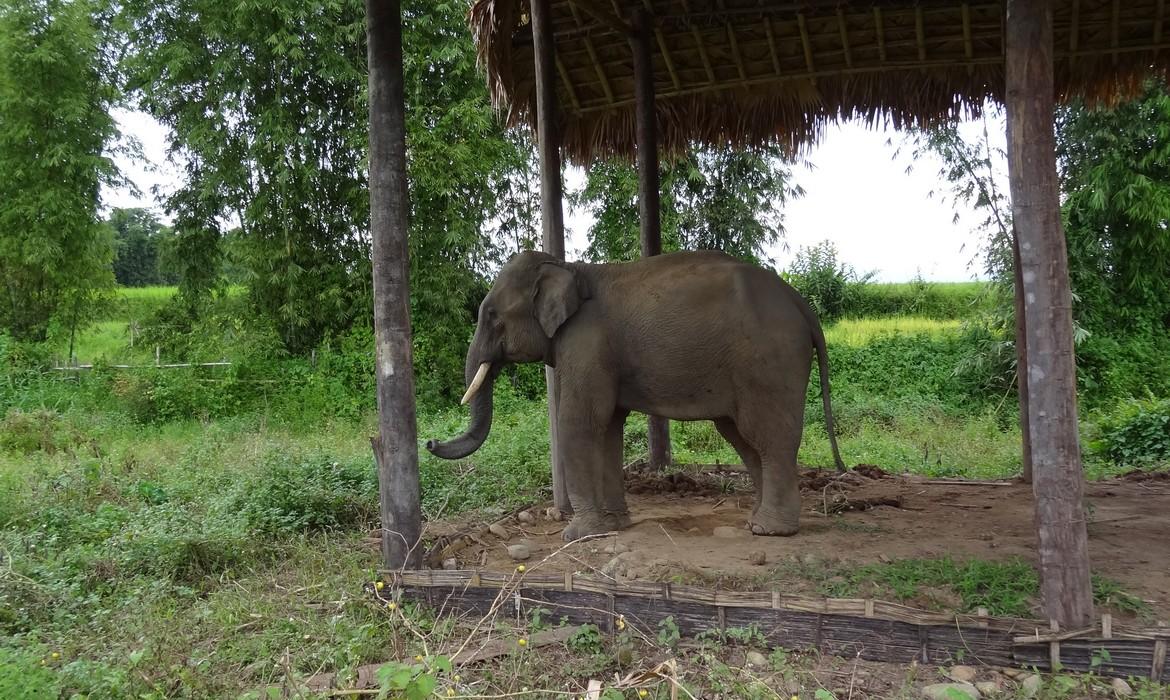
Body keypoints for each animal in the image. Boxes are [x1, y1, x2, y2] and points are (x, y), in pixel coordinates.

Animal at [426, 249, 845, 541]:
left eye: (492, 315)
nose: (429, 442)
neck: (569, 266)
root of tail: (800, 302)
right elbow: (610, 426)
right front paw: (616, 524)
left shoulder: (586, 342)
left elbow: (580, 421)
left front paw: (578, 535)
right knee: (744, 438)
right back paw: (758, 521)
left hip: (769, 362)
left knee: (767, 436)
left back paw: (770, 530)